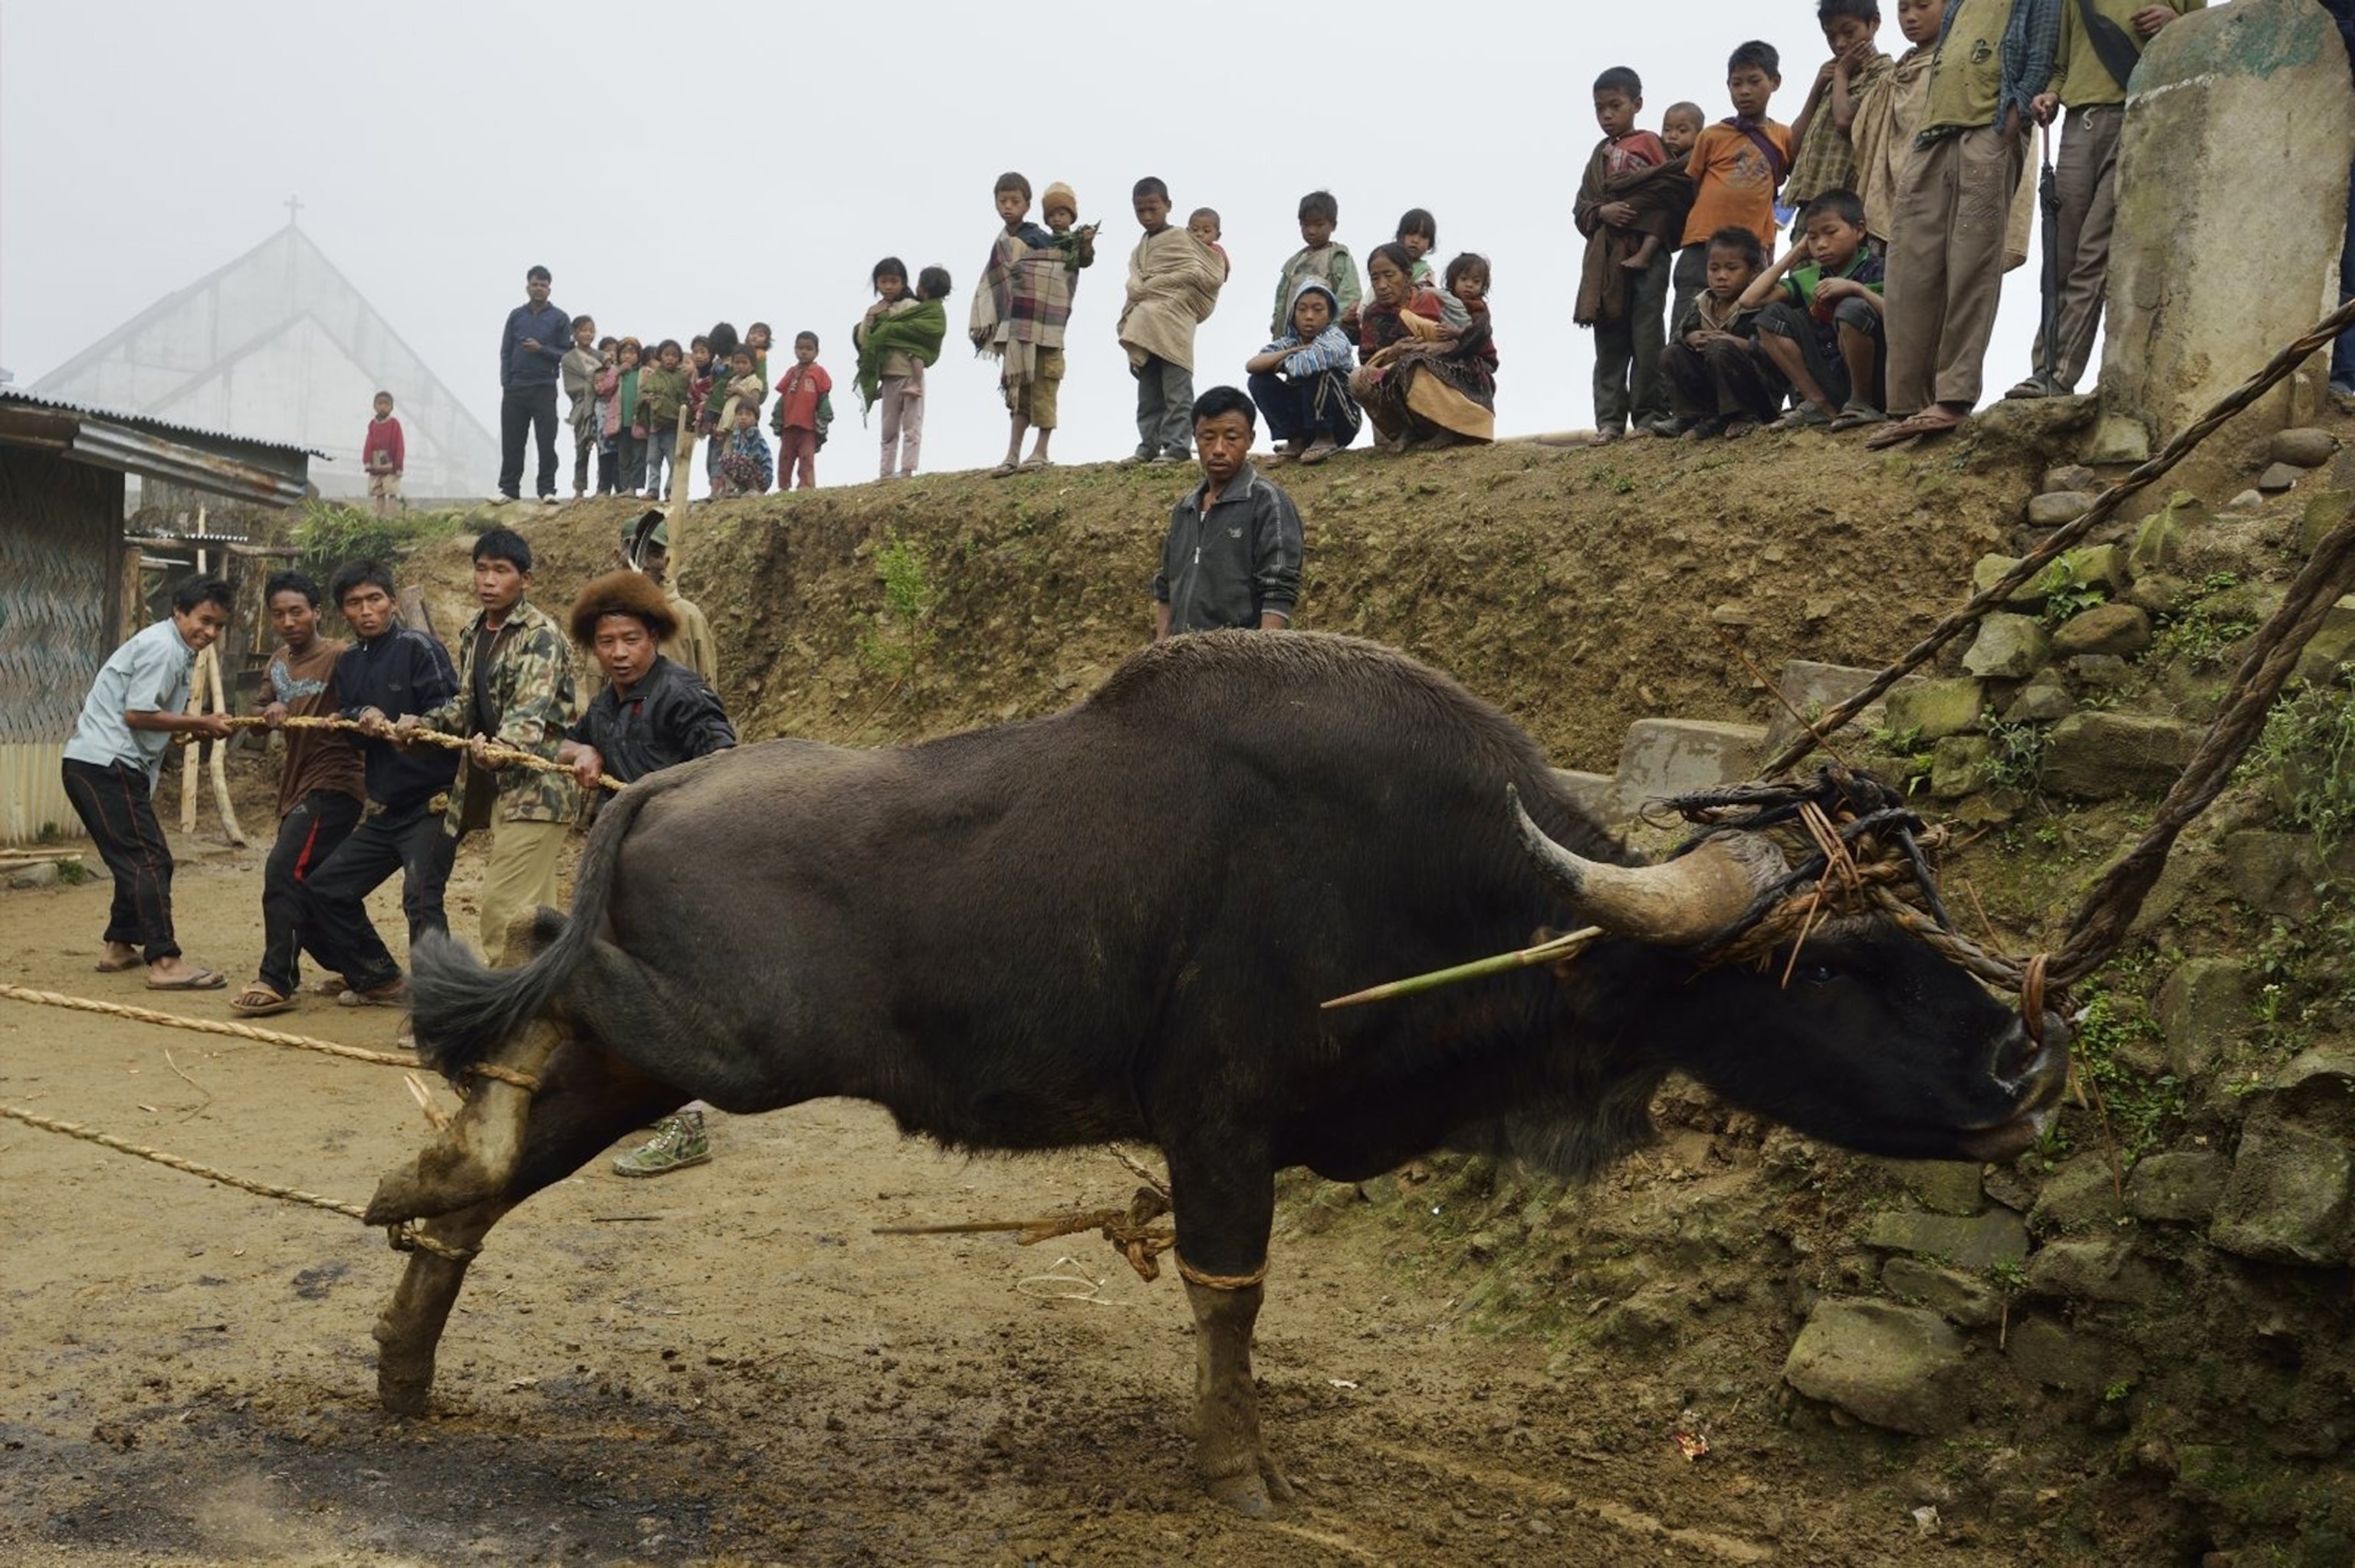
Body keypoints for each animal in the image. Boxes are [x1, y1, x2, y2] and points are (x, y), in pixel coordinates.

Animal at [368, 631, 2068, 1516]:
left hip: (659, 1060)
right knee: (552, 982)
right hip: (730, 1044)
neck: (1462, 887)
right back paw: (436, 1159)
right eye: (1831, 962)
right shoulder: (1222, 1129)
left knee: (512, 1125)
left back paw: (413, 1287)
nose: (2019, 1056)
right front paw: (1237, 1470)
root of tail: (649, 791)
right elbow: (1227, 1299)